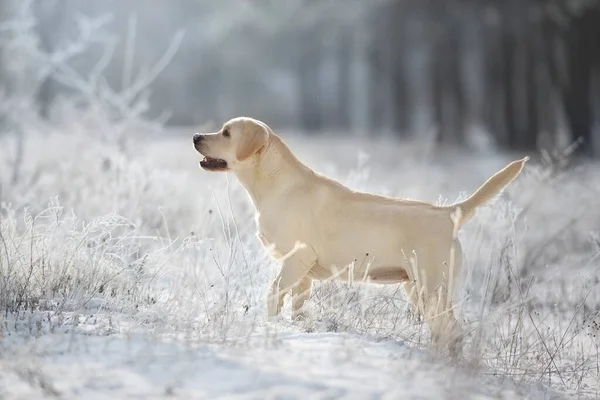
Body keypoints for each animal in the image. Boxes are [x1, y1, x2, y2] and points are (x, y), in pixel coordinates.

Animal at [195, 115, 528, 350]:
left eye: (226, 133)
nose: (196, 136)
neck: (274, 184)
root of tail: (450, 213)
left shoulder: (296, 258)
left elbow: (273, 293)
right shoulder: (302, 272)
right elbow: (297, 305)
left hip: (432, 288)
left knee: (453, 331)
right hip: (417, 289)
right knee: (446, 331)